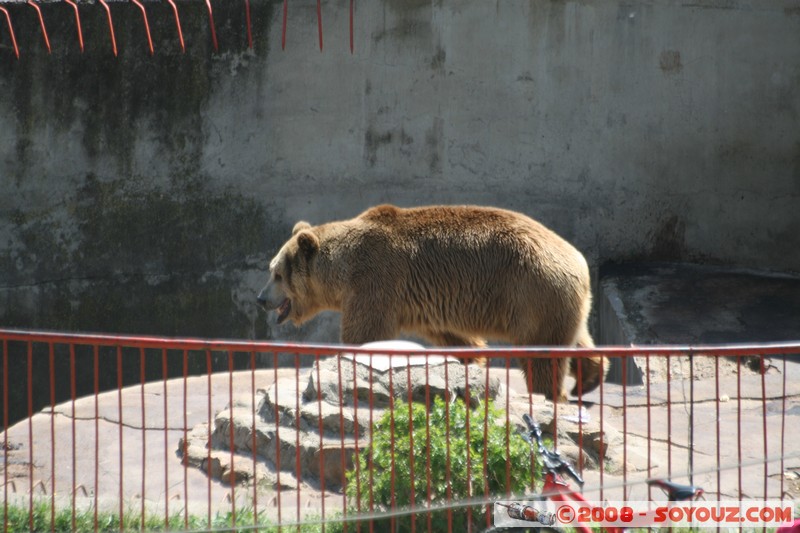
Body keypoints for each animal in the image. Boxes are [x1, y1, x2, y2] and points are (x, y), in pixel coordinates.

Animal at [258, 204, 608, 400]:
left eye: (276, 274)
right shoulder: (426, 301)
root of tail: (579, 261)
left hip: (532, 291)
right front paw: (472, 360)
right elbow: (456, 337)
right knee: (575, 338)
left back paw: (548, 393)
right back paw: (588, 378)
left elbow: (365, 332)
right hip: (560, 302)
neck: (343, 268)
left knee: (541, 353)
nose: (261, 299)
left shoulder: (375, 279)